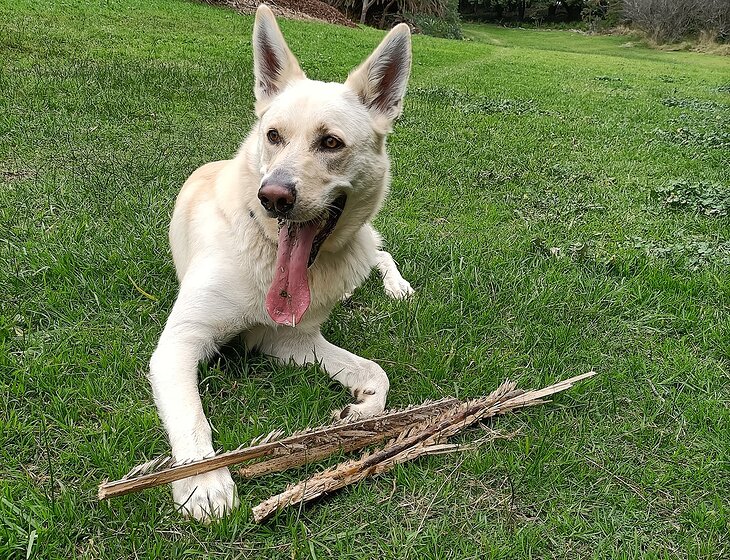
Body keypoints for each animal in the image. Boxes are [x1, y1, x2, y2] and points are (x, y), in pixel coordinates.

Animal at [148, 4, 413, 522]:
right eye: (273, 136)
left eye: (330, 143)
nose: (272, 197)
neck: (267, 254)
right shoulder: (181, 343)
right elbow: (192, 416)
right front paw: (204, 481)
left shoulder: (289, 339)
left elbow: (376, 372)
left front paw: (360, 411)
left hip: (362, 246)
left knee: (381, 252)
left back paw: (397, 287)